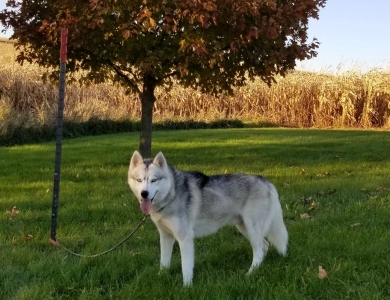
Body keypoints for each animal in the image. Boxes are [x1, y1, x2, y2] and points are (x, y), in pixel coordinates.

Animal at [127, 151, 286, 284]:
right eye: (139, 180)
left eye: (154, 180)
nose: (144, 194)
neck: (171, 195)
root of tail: (266, 181)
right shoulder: (166, 236)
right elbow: (164, 262)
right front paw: (161, 277)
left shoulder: (185, 238)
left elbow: (186, 267)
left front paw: (187, 287)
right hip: (245, 228)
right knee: (264, 246)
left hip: (252, 229)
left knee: (258, 252)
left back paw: (250, 274)